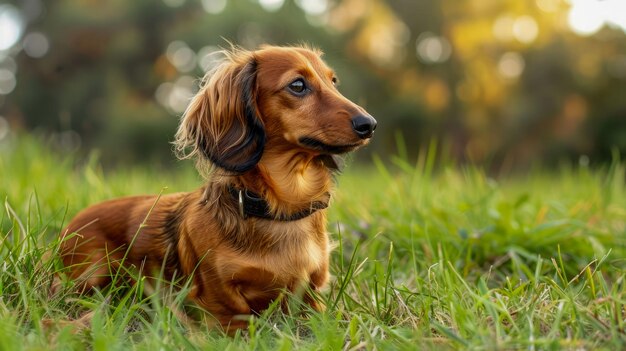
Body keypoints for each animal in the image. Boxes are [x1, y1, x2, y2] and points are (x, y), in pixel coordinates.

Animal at [59, 45, 376, 334]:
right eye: (298, 85)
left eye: (333, 82)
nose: (370, 124)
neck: (281, 210)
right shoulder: (219, 299)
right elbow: (234, 318)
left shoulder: (313, 293)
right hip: (94, 272)